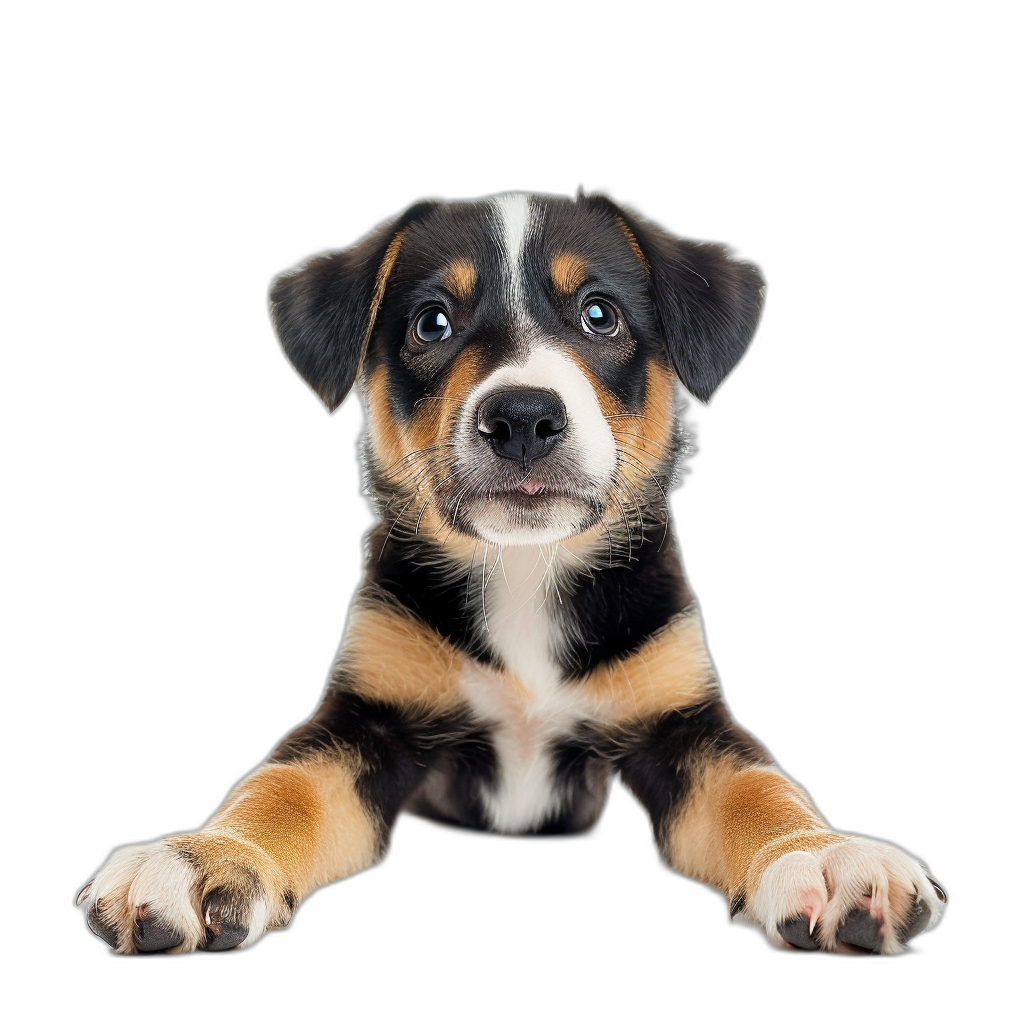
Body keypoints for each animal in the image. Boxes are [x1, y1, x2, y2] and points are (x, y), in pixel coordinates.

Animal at [75, 190, 946, 950]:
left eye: (599, 314)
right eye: (432, 322)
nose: (523, 417)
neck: (525, 568)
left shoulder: (683, 723)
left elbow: (760, 790)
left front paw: (824, 858)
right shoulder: (365, 719)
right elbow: (280, 788)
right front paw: (202, 860)